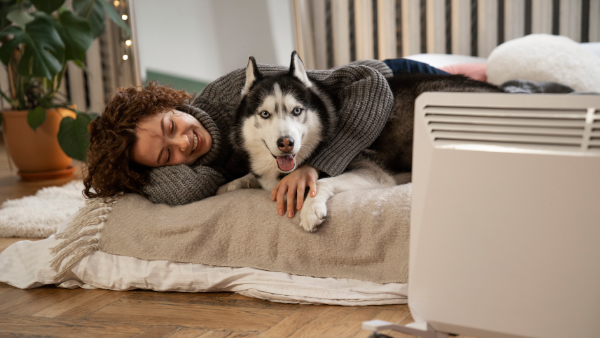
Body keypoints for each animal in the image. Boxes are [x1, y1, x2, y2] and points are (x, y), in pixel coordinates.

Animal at [220, 52, 502, 232]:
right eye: (265, 114)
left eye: (297, 111)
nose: (286, 143)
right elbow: (251, 178)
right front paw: (231, 184)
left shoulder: (373, 172)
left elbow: (322, 181)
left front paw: (311, 209)